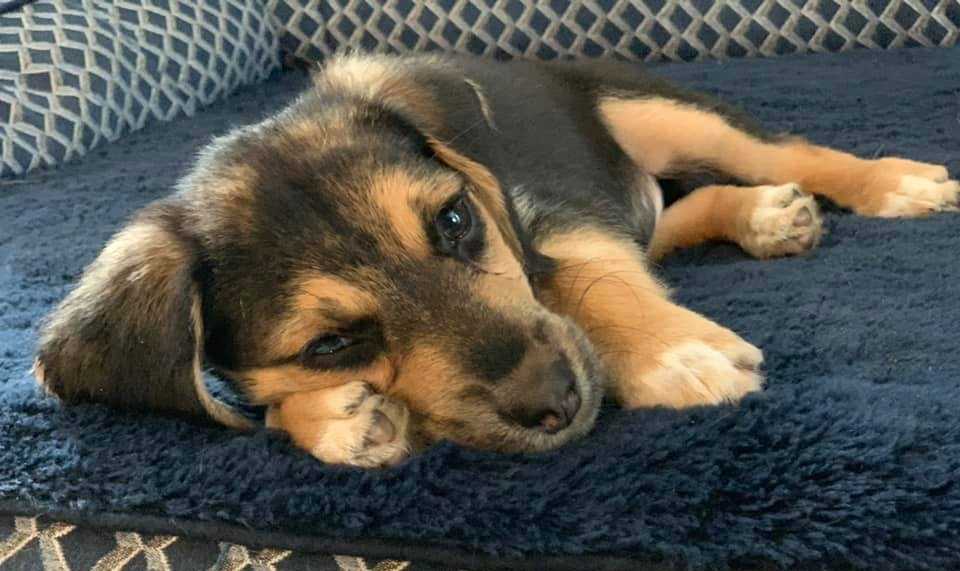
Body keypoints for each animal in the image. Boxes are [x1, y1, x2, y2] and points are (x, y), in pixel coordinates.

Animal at [33, 52, 956, 470]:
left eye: (454, 219)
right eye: (329, 345)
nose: (559, 400)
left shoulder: (549, 224)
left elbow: (587, 282)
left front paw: (673, 354)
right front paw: (334, 418)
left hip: (656, 114)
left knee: (781, 152)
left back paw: (891, 184)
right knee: (670, 213)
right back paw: (765, 217)